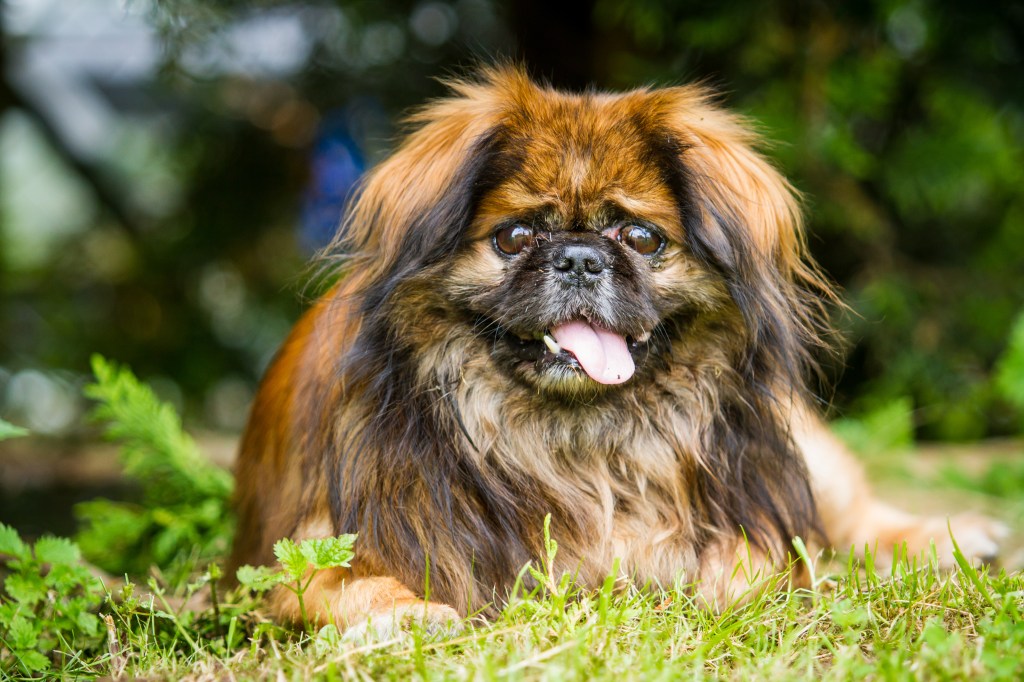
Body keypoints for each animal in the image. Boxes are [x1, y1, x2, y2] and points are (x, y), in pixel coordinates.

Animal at [228, 66, 1003, 630]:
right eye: (515, 236)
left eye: (641, 238)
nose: (579, 258)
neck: (579, 443)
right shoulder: (307, 555)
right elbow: (348, 587)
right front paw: (412, 615)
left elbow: (756, 563)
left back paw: (954, 539)